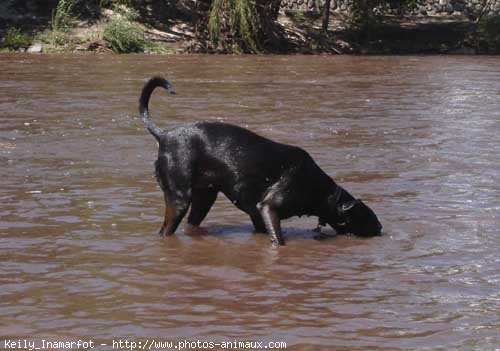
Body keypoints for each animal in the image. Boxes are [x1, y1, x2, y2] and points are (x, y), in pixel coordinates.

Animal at [139, 77, 380, 246]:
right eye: (368, 218)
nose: (380, 229)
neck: (322, 191)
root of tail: (164, 135)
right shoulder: (268, 208)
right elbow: (278, 241)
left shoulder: (257, 214)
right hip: (180, 199)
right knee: (165, 231)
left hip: (205, 196)